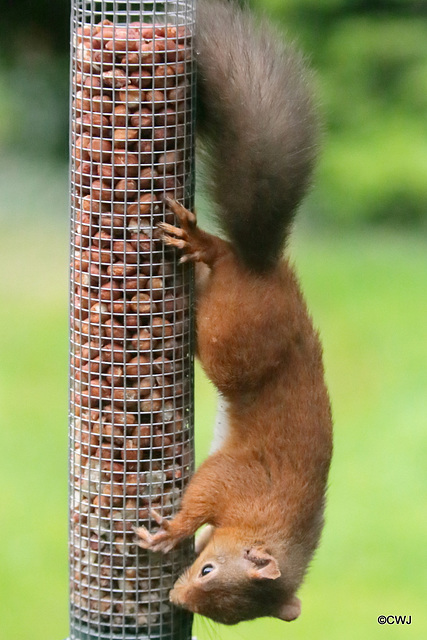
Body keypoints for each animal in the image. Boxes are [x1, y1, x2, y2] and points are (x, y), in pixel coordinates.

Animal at [135, 0, 332, 624]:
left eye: (227, 616)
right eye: (206, 570)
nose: (177, 599)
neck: (271, 521)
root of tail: (264, 264)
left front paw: (175, 535)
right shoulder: (240, 481)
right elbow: (202, 495)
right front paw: (172, 530)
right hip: (231, 338)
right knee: (221, 260)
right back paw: (203, 244)